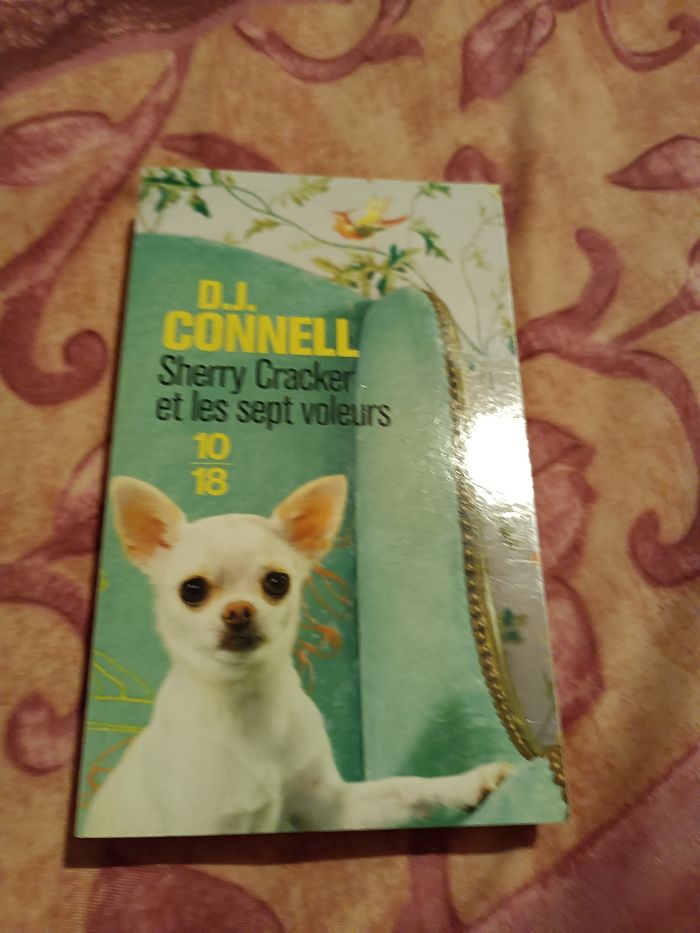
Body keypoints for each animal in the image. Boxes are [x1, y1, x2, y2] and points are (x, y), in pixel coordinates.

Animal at [84, 475, 512, 836]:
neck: (247, 705)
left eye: (277, 582)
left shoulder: (330, 808)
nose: (238, 611)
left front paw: (465, 784)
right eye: (192, 590)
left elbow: (405, 785)